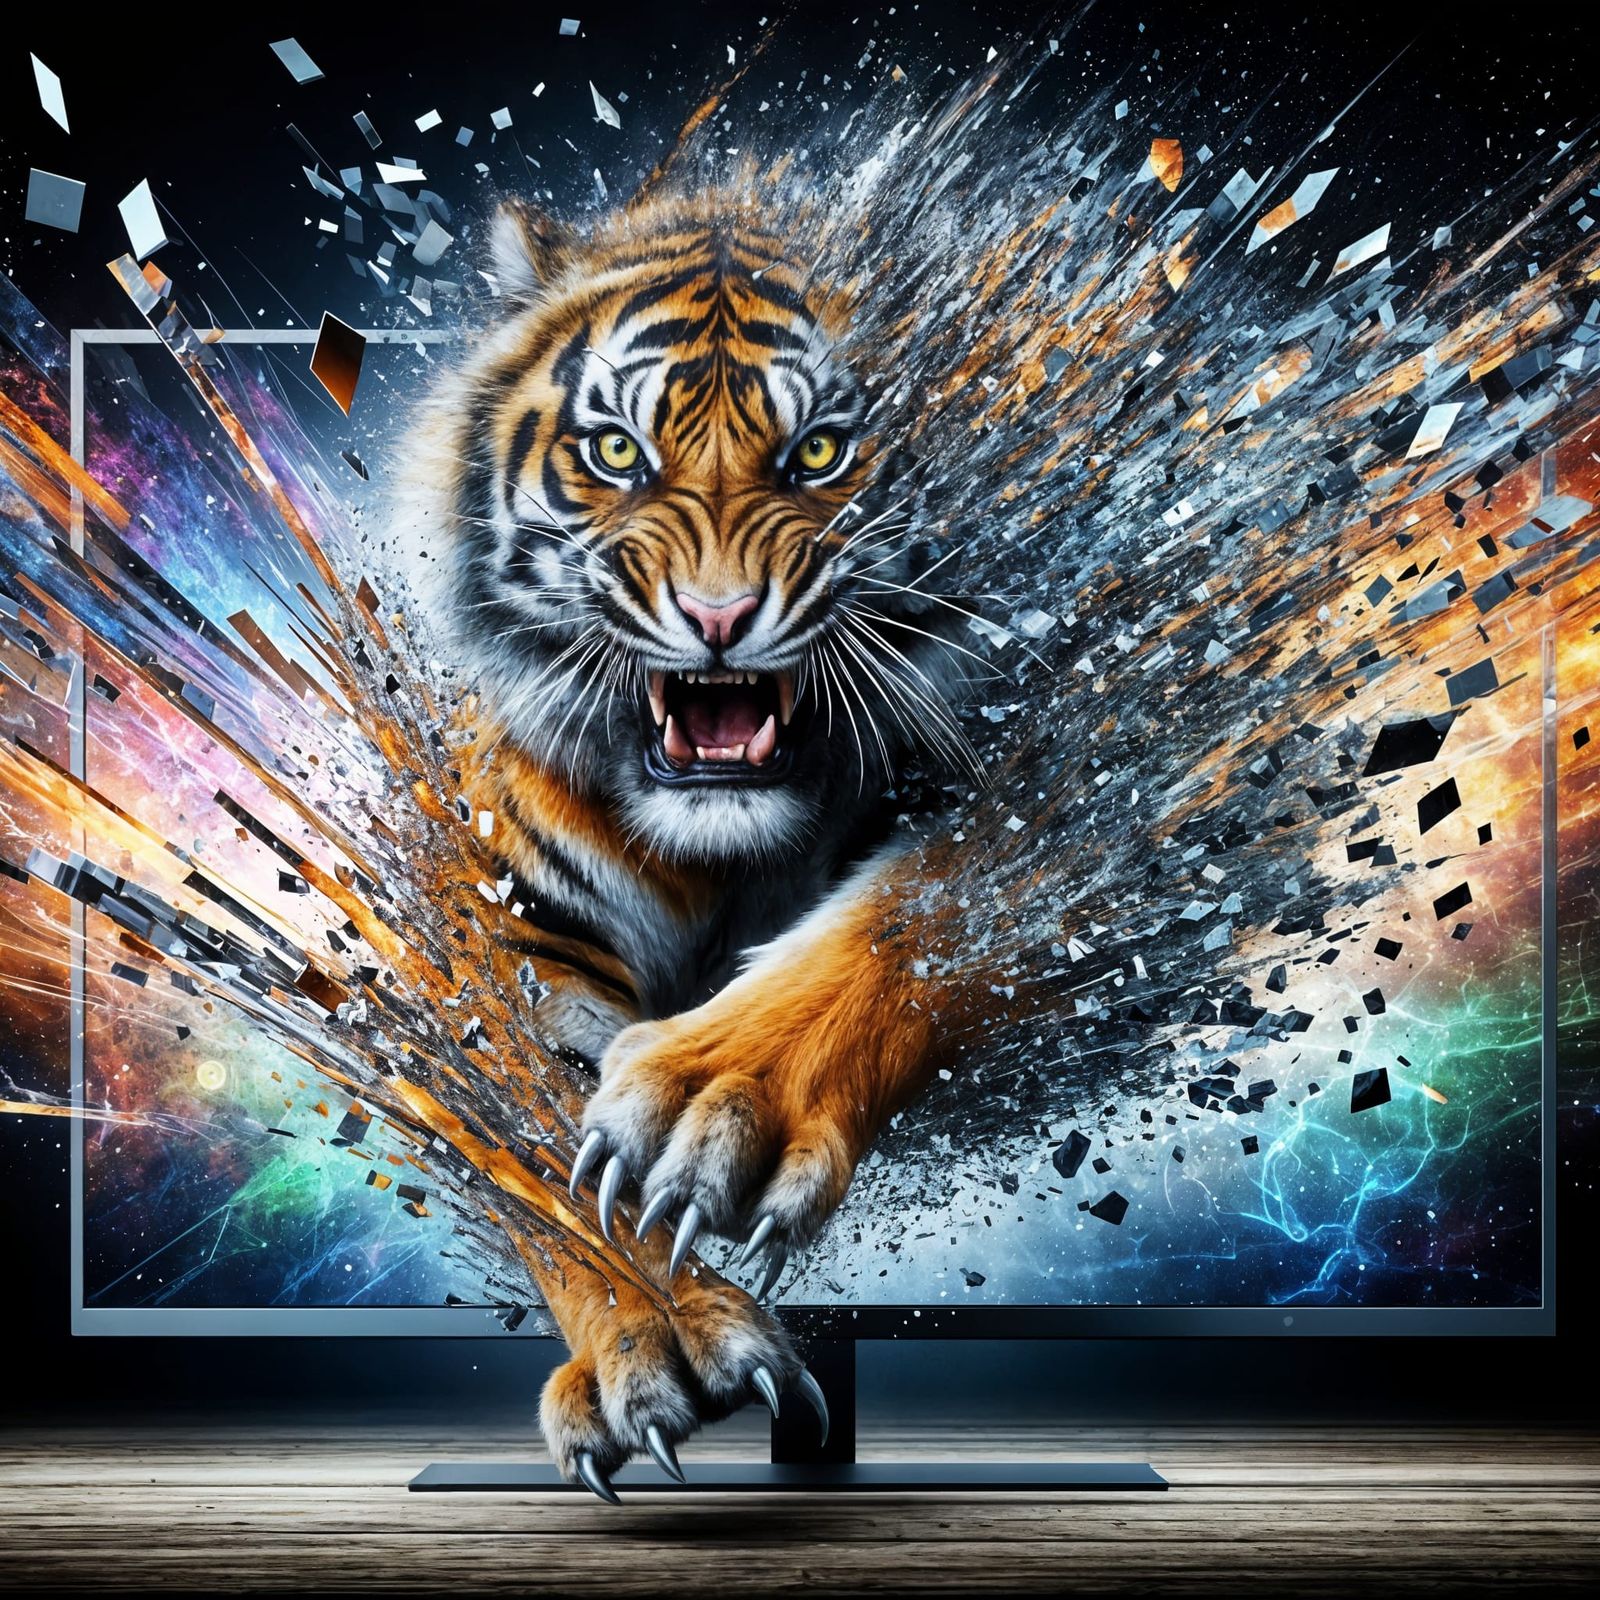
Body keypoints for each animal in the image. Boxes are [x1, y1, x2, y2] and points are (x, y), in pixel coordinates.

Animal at [401, 195, 972, 1498]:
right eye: (617, 454)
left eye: (820, 452)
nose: (718, 618)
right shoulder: (508, 945)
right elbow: (541, 1153)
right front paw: (655, 1341)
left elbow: (915, 918)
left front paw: (714, 1106)